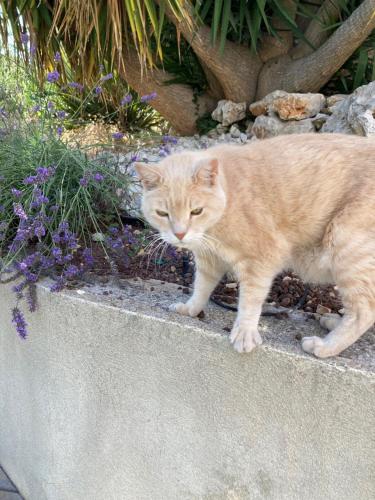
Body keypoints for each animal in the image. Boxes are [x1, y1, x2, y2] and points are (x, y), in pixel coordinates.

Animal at [136, 133, 375, 358]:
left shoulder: (262, 260)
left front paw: (245, 332)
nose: (180, 234)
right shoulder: (209, 259)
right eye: (162, 213)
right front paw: (190, 309)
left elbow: (250, 300)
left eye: (196, 211)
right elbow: (201, 287)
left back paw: (325, 346)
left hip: (347, 247)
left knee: (363, 312)